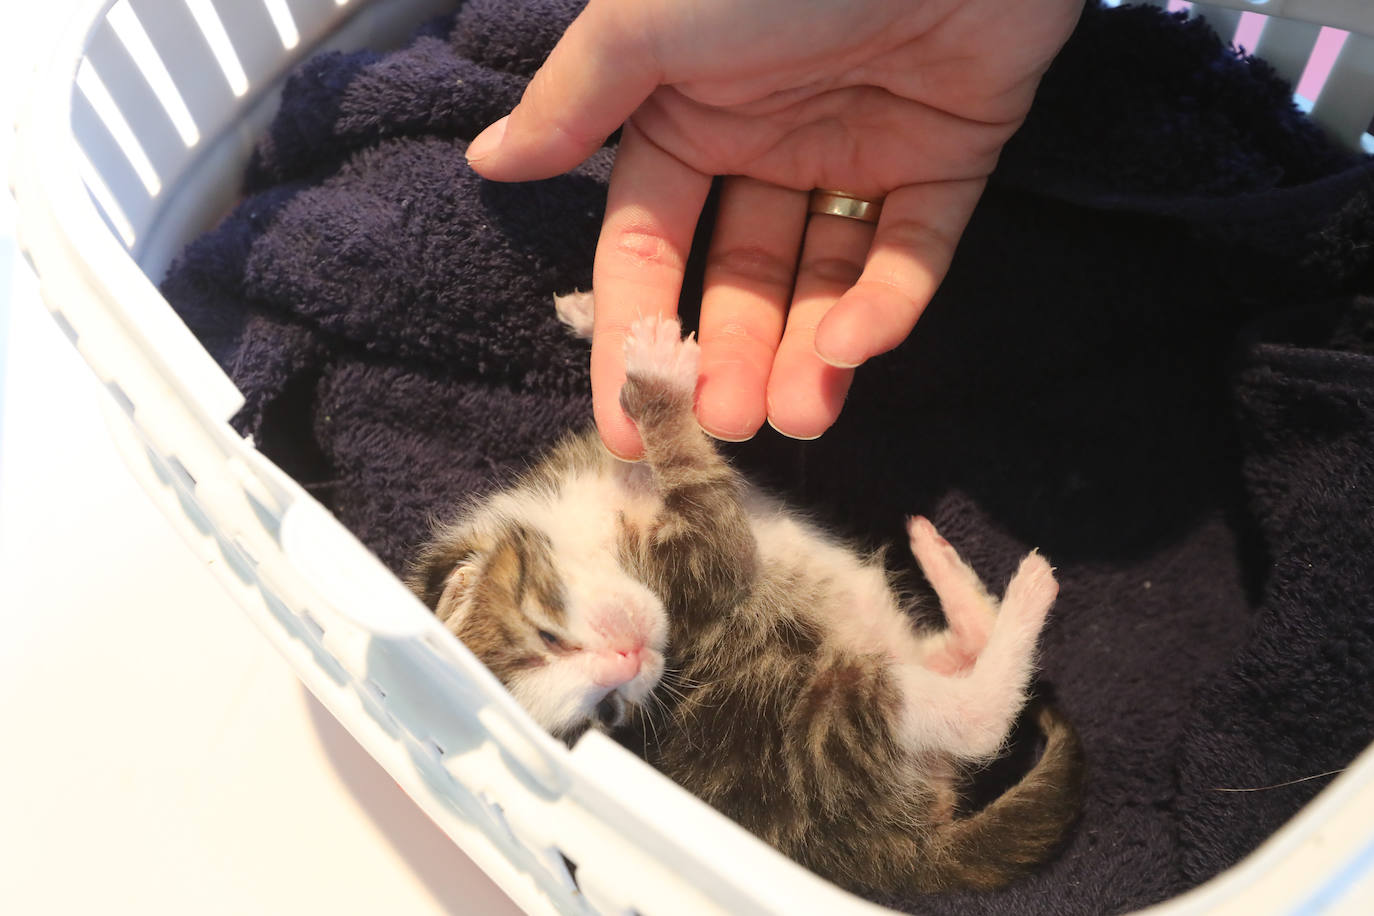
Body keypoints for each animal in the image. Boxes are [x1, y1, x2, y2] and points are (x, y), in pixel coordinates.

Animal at [406, 307, 1082, 895]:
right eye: (605, 713)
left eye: (548, 637)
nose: (628, 661)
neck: (598, 530)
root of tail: (899, 860)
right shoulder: (703, 573)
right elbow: (700, 483)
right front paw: (657, 388)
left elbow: (683, 428)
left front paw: (597, 318)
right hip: (835, 719)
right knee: (976, 721)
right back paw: (1028, 591)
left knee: (964, 647)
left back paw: (937, 557)